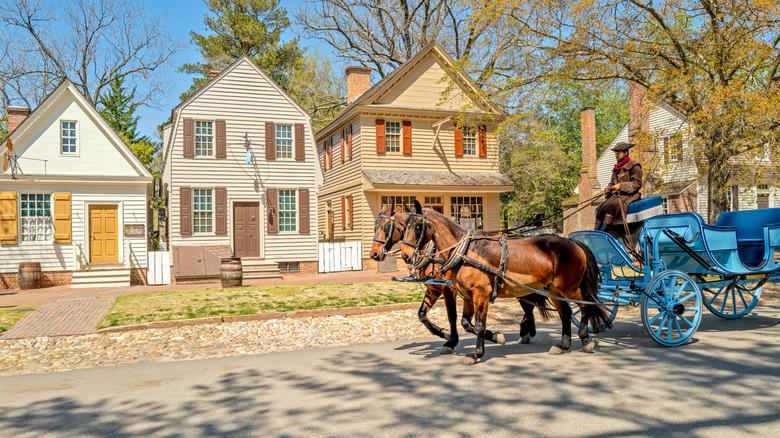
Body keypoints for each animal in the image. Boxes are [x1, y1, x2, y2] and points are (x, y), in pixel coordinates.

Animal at [368, 204, 508, 352]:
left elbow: (452, 315)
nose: (374, 254)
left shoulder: (449, 289)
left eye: (386, 226)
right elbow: (422, 314)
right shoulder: (433, 289)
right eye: (374, 226)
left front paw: (453, 341)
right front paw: (444, 333)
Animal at [402, 200, 608, 364]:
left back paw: (585, 339)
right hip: (553, 289)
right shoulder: (468, 295)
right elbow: (465, 322)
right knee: (565, 312)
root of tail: (573, 242)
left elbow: (479, 324)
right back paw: (562, 344)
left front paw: (477, 353)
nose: (405, 255)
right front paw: (495, 337)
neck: (465, 250)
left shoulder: (481, 294)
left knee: (585, 306)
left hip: (569, 287)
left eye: (417, 226)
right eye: (404, 226)